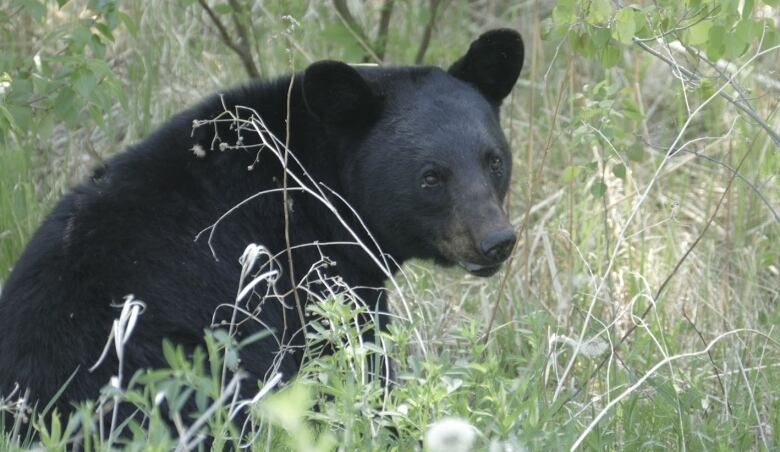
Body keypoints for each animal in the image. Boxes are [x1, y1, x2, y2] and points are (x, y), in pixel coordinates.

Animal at [1, 30, 524, 426]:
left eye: (494, 161)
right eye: (431, 176)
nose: (496, 241)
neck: (310, 182)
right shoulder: (311, 274)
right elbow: (354, 361)